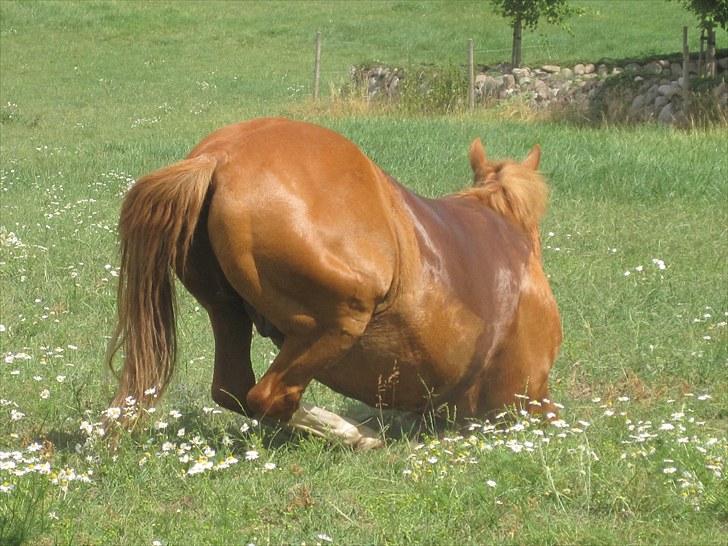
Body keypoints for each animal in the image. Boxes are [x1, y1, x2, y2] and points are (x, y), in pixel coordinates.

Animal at [106, 118, 564, 446]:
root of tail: (218, 158)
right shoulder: (527, 400)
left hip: (225, 309)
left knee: (234, 390)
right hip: (341, 318)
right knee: (270, 396)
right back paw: (359, 436)